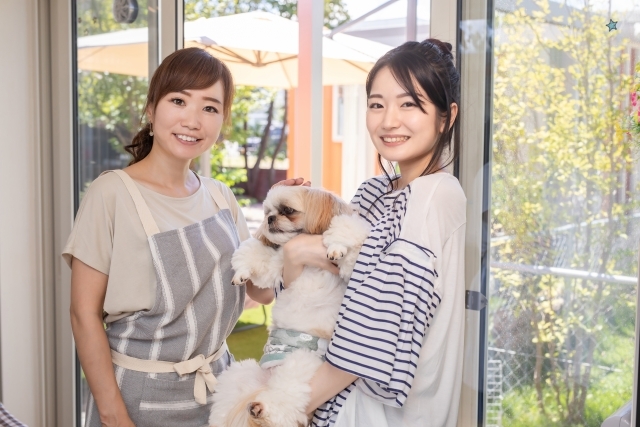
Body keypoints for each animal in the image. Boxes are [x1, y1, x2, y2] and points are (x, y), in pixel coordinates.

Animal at [209, 185, 370, 427]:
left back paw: (262, 408)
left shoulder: (349, 268)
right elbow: (253, 253)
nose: (270, 219)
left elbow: (345, 231)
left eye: (288, 210)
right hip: (239, 375)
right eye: (267, 212)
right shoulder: (276, 267)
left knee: (285, 400)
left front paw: (336, 247)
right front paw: (241, 272)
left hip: (299, 365)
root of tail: (266, 385)